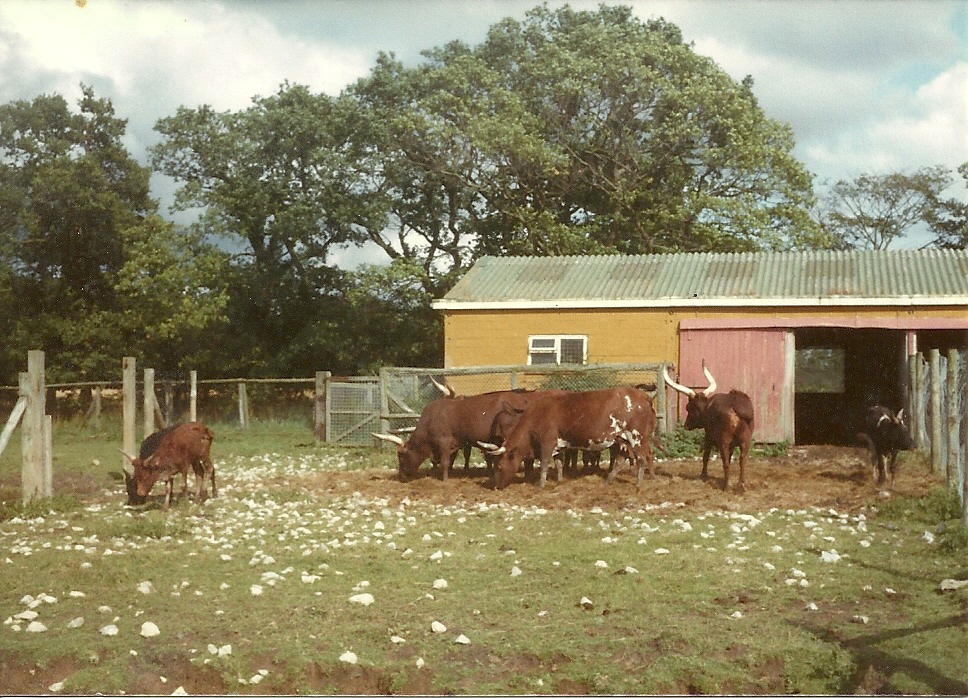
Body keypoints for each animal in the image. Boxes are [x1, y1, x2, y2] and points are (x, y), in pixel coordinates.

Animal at [372, 389, 540, 481]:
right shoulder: (454, 444)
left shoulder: (444, 442)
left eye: (400, 455)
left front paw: (445, 479)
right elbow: (449, 461)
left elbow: (445, 462)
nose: (401, 476)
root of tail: (524, 400)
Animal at [479, 386, 656, 490]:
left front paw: (541, 485)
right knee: (621, 458)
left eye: (499, 466)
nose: (496, 487)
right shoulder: (558, 445)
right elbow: (558, 462)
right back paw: (609, 480)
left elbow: (544, 463)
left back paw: (638, 483)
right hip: (621, 439)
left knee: (641, 458)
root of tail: (643, 396)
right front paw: (559, 480)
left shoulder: (547, 441)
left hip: (637, 436)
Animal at [663, 365, 754, 493]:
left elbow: (706, 455)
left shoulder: (708, 436)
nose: (686, 425)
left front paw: (703, 475)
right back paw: (741, 485)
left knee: (726, 462)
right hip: (746, 440)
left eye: (688, 407)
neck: (707, 407)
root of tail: (737, 405)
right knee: (742, 461)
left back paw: (726, 486)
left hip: (724, 440)